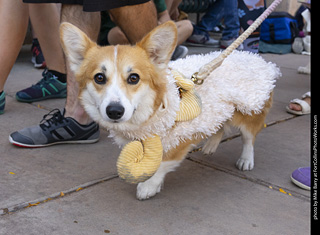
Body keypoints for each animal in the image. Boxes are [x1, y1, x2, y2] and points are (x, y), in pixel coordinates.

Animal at [60, 21, 280, 199]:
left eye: (134, 78)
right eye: (99, 78)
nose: (114, 111)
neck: (151, 110)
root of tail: (256, 58)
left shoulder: (179, 139)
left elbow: (163, 163)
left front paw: (148, 186)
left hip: (249, 110)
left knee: (248, 138)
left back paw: (246, 160)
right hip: (220, 109)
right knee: (219, 127)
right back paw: (210, 145)